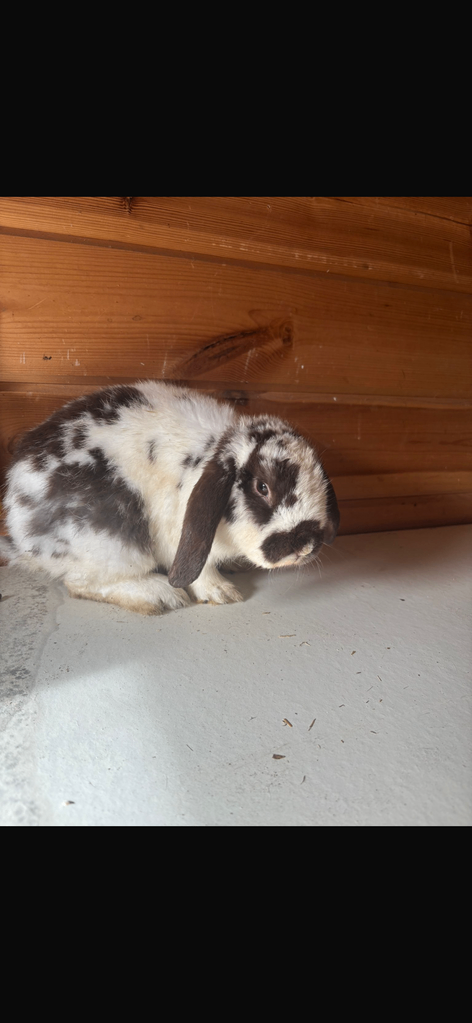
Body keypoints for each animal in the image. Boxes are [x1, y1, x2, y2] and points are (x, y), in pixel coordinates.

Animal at [0, 381, 340, 614]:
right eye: (262, 487)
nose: (305, 546)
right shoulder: (181, 535)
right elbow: (202, 569)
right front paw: (222, 593)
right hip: (113, 542)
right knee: (79, 582)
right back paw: (160, 595)